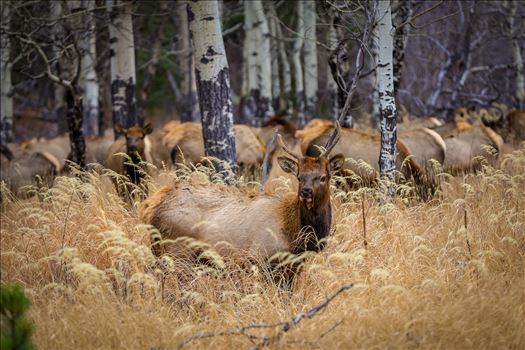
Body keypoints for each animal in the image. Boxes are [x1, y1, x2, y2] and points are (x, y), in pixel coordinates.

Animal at [139, 123, 344, 288]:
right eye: (299, 177)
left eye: (323, 177)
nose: (306, 192)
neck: (296, 235)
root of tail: (149, 207)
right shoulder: (262, 258)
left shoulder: (292, 267)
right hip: (177, 251)